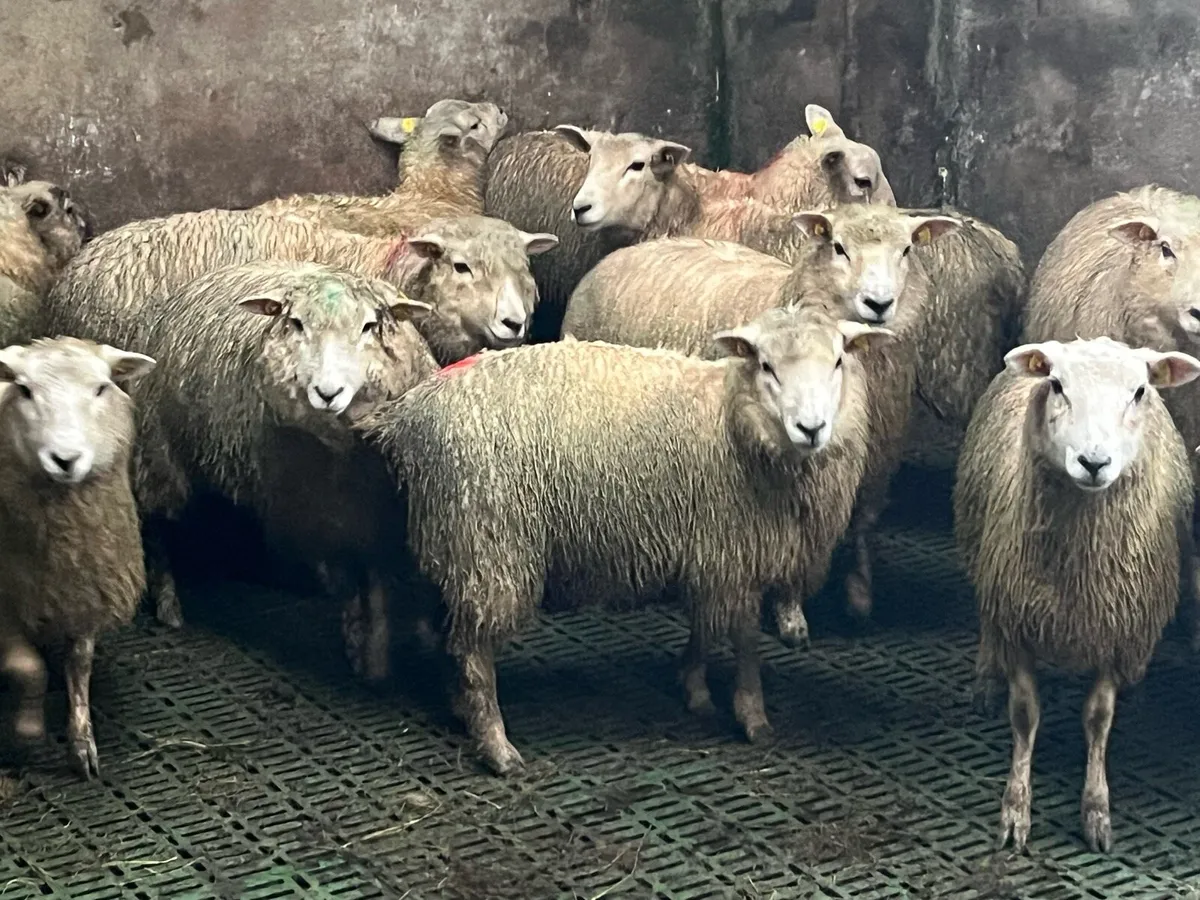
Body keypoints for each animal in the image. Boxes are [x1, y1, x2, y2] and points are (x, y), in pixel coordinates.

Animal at [0, 336, 156, 778]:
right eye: (24, 390)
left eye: (101, 388)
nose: (65, 459)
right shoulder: (7, 597)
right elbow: (28, 668)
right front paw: (28, 734)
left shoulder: (87, 584)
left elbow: (80, 661)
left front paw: (82, 741)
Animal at [124, 262, 435, 644]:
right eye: (297, 323)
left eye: (369, 326)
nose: (327, 393)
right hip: (159, 455)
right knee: (156, 527)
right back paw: (168, 605)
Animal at [359, 306, 894, 774]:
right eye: (766, 365)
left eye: (839, 361)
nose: (811, 428)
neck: (732, 421)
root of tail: (410, 412)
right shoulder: (733, 551)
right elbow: (743, 641)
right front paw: (752, 715)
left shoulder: (709, 549)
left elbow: (703, 625)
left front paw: (693, 687)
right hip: (490, 542)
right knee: (473, 651)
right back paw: (496, 745)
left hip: (454, 536)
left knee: (451, 629)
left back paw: (459, 708)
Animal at [563, 204, 963, 630]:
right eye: (838, 247)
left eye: (906, 250)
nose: (878, 303)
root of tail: (622, 253)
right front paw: (789, 613)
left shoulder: (871, 462)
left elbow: (862, 526)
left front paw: (859, 597)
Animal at [953, 337, 1200, 853]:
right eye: (1056, 385)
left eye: (1140, 391)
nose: (1093, 462)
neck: (1078, 572)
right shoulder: (1017, 619)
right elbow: (1025, 715)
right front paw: (1015, 810)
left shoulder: (1117, 628)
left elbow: (1098, 718)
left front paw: (1096, 811)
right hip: (984, 563)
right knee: (986, 624)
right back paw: (985, 679)